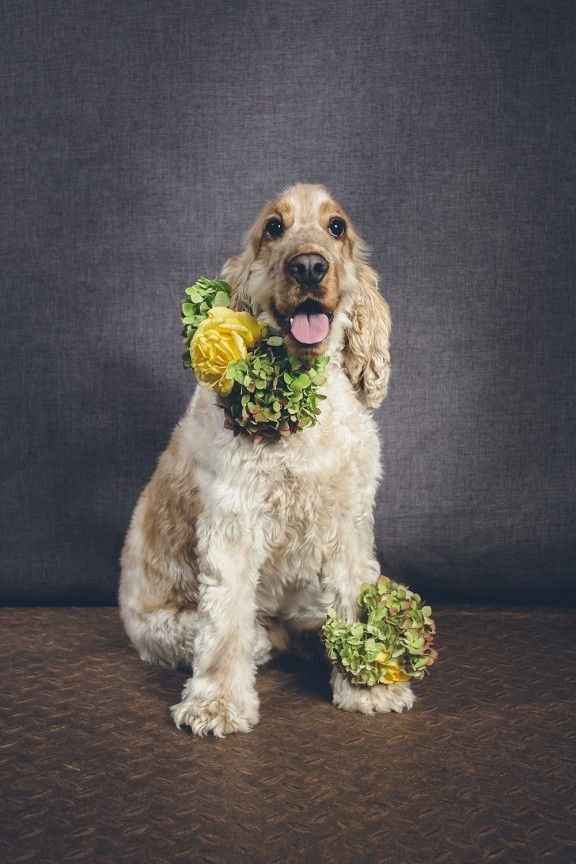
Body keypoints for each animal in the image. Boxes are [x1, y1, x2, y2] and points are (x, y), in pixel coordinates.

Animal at [119, 182, 414, 736]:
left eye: (336, 226)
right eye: (273, 228)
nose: (309, 267)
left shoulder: (349, 524)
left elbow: (355, 602)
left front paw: (368, 688)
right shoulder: (233, 522)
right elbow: (226, 623)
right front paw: (216, 704)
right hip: (162, 628)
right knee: (250, 636)